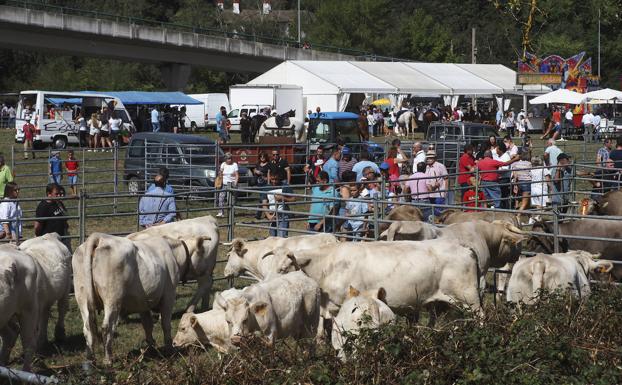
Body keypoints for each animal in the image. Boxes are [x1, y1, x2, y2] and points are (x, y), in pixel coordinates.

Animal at [73, 231, 210, 364]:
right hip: (112, 299)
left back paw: (90, 359)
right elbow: (165, 324)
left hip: (82, 297)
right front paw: (169, 348)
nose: (205, 271)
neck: (173, 253)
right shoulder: (169, 295)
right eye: (203, 252)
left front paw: (151, 347)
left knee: (88, 327)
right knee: (106, 327)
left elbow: (147, 324)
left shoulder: (142, 301)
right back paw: (108, 359)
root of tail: (99, 238)